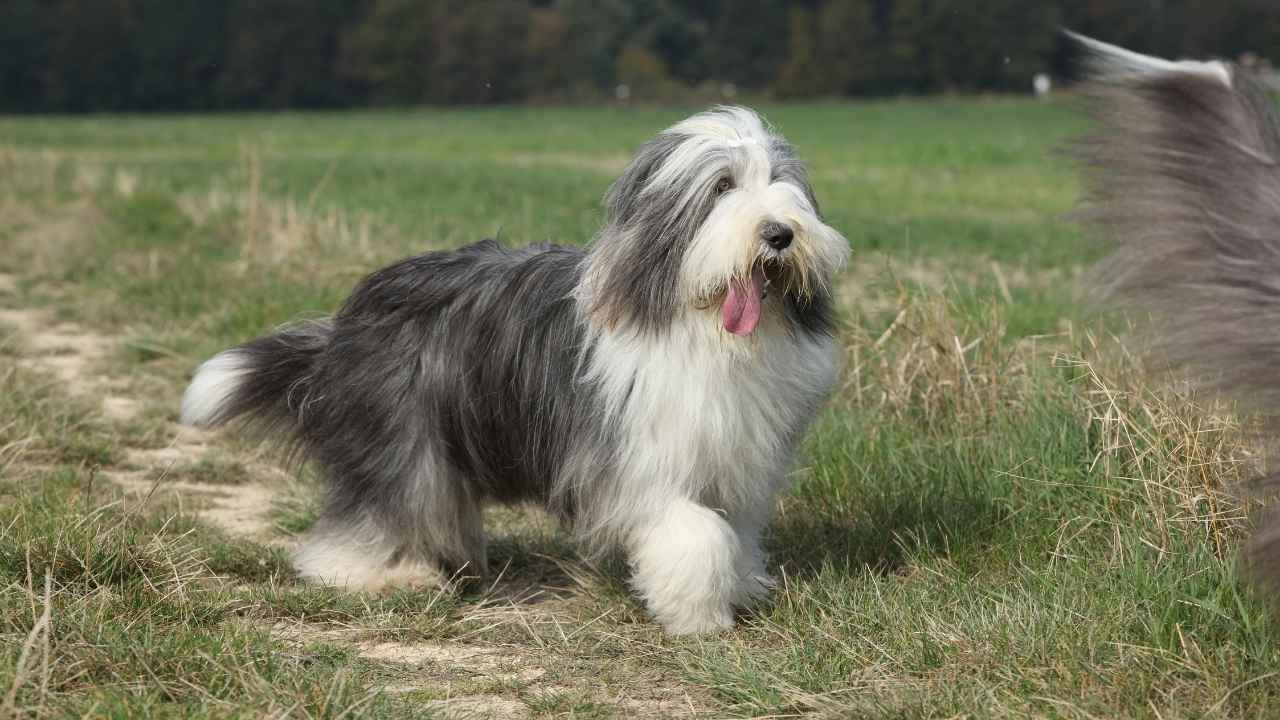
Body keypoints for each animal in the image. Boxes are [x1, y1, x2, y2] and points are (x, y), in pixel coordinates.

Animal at [172, 106, 849, 632]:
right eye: (722, 186)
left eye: (782, 182)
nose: (780, 234)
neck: (700, 327)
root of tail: (345, 322)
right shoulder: (644, 460)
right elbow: (695, 536)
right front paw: (700, 618)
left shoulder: (737, 459)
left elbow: (735, 532)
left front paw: (742, 587)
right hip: (400, 434)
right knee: (376, 509)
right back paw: (382, 574)